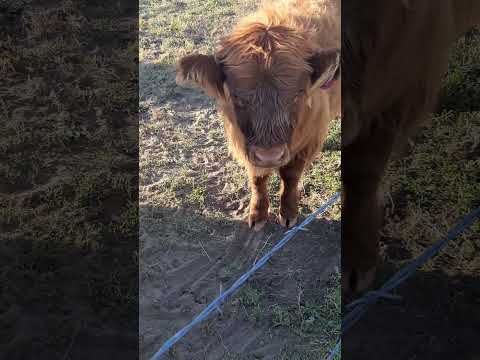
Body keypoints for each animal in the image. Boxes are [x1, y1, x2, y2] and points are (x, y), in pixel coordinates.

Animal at [177, 0, 342, 231]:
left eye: (297, 95)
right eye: (237, 97)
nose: (269, 156)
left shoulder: (310, 138)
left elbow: (290, 175)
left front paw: (288, 213)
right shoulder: (242, 142)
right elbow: (257, 178)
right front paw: (257, 214)